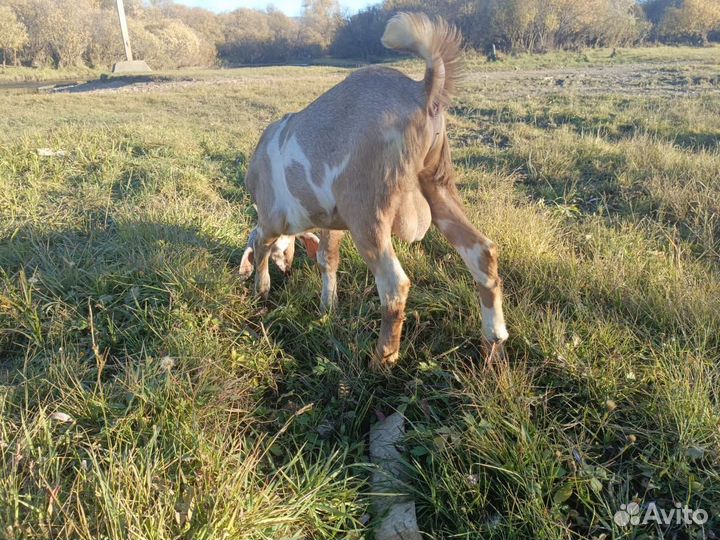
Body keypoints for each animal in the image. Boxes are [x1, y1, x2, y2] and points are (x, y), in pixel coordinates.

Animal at [239, 12, 510, 370]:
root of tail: (422, 90)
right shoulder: (332, 223)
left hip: (369, 210)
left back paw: (382, 358)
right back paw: (493, 344)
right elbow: (327, 260)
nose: (288, 271)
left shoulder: (271, 219)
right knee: (482, 252)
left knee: (394, 284)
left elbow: (262, 249)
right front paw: (327, 309)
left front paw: (262, 290)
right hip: (438, 184)